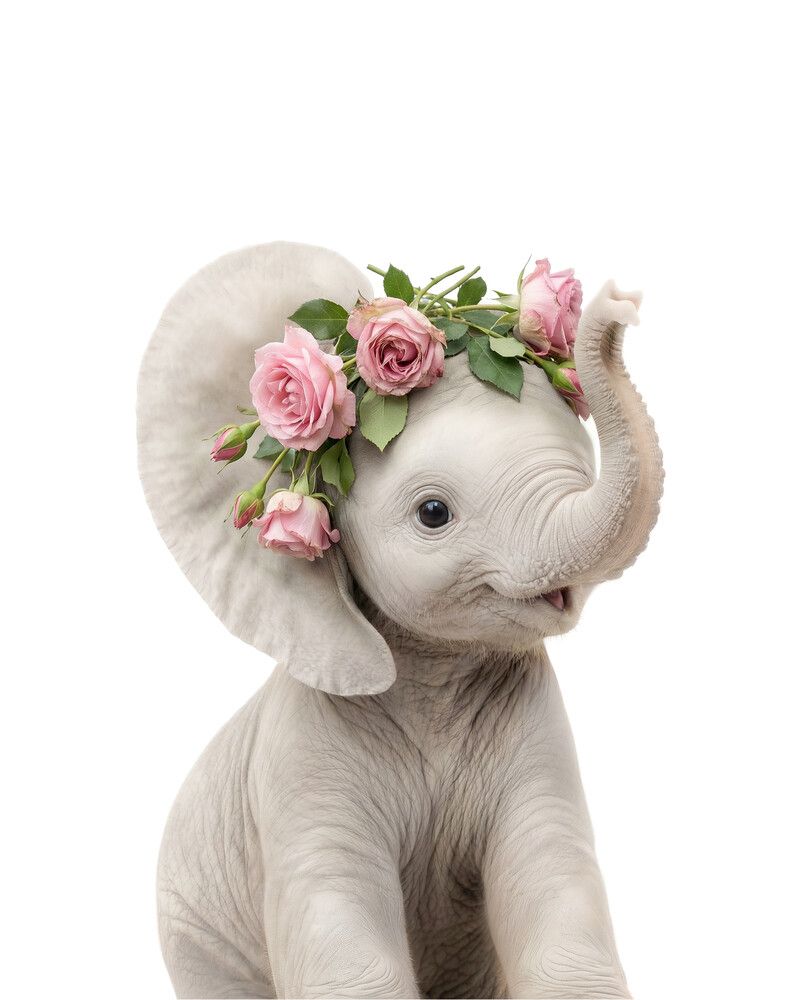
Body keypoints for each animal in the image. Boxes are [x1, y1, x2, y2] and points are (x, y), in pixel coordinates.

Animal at [138, 241, 663, 999]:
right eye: (433, 514)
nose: (624, 299)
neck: (432, 667)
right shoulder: (301, 757)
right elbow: (346, 942)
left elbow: (557, 891)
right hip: (194, 934)